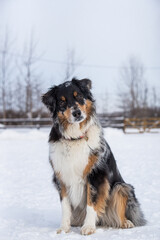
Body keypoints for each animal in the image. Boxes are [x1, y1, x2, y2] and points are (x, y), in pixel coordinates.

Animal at [41, 78, 146, 235]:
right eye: (61, 101)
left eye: (78, 96)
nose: (77, 113)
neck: (75, 138)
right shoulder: (61, 176)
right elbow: (65, 206)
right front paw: (64, 228)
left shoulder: (96, 174)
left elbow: (92, 202)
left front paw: (89, 227)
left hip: (121, 187)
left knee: (119, 212)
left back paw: (126, 222)